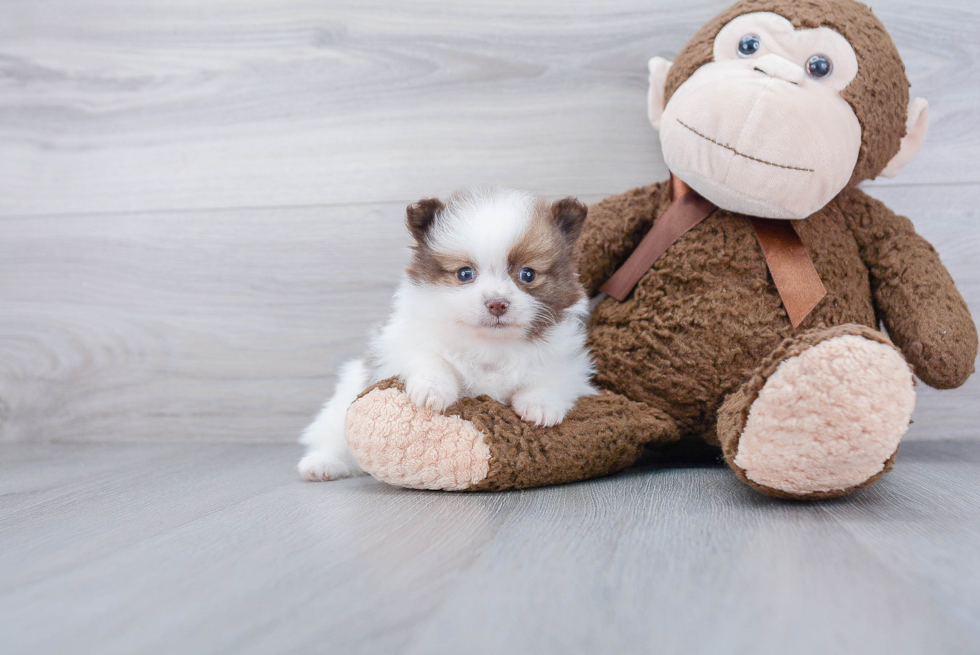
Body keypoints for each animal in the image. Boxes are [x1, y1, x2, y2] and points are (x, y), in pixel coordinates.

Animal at [294, 188, 592, 482]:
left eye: (528, 274)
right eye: (465, 273)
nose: (497, 304)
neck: (490, 345)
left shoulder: (567, 360)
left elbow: (552, 377)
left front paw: (540, 406)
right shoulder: (403, 343)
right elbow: (430, 359)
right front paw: (433, 390)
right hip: (342, 403)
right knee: (334, 438)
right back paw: (322, 464)